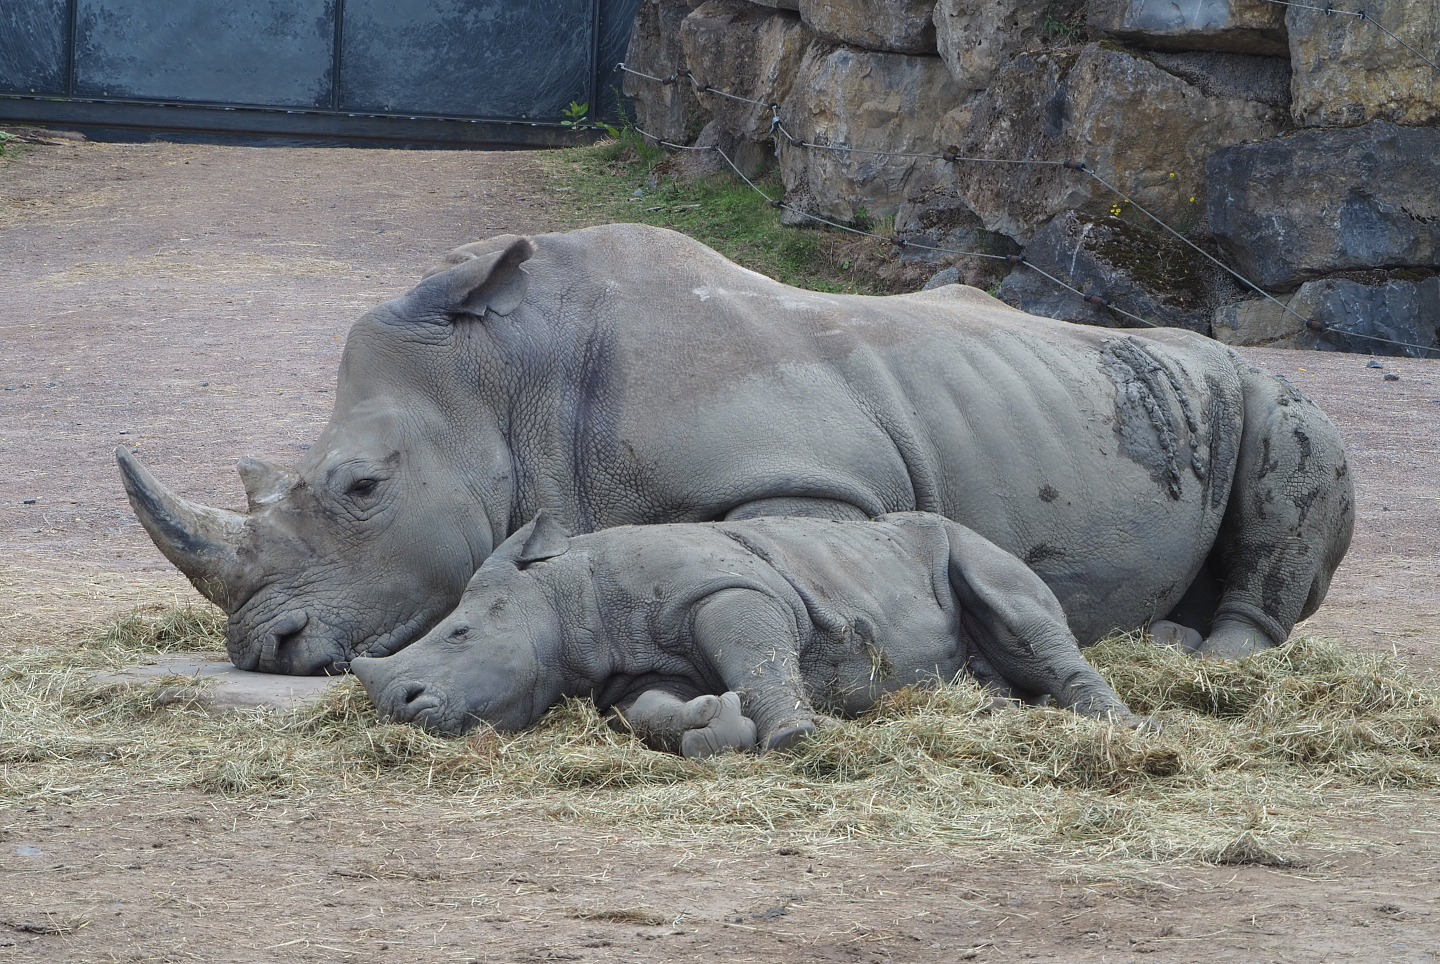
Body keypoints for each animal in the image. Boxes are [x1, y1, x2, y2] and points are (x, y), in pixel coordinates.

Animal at [116, 223, 1354, 675]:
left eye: (362, 486)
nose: (262, 648)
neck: (511, 381)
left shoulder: (819, 484)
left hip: (1269, 388)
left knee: (1296, 438)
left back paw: (1211, 659)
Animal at [349, 511, 1144, 752]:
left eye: (458, 636)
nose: (397, 706)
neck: (567, 591)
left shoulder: (730, 589)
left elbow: (757, 657)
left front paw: (792, 738)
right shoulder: (633, 673)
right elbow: (652, 712)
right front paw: (713, 727)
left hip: (966, 538)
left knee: (1014, 602)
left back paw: (1123, 729)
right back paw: (990, 710)